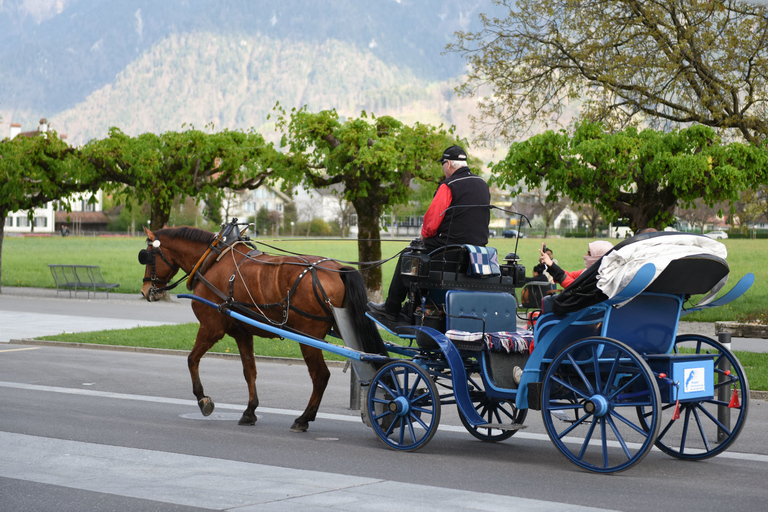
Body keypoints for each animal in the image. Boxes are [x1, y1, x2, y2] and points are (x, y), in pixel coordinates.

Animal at [139, 226, 388, 430]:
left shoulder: (211, 328)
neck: (212, 260)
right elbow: (249, 371)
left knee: (320, 375)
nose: (145, 291)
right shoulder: (242, 333)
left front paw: (203, 400)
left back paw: (304, 418)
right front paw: (250, 411)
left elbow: (192, 360)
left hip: (309, 336)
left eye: (148, 256)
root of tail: (338, 269)